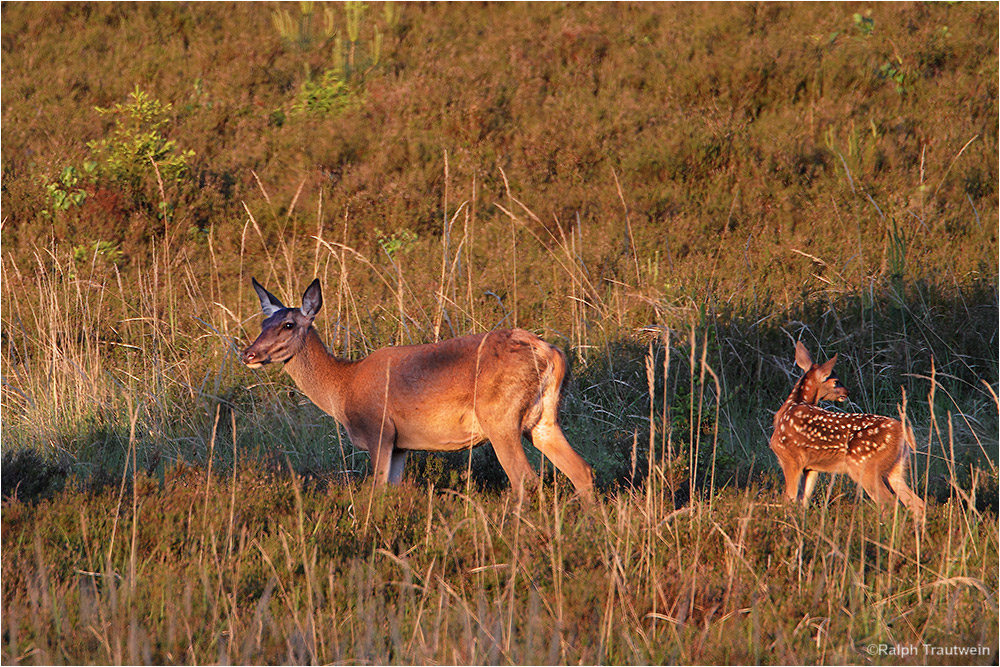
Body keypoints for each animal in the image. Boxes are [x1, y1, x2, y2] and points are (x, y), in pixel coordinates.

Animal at [241, 278, 592, 500]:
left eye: (288, 325)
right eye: (263, 324)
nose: (248, 354)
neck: (343, 386)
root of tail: (551, 353)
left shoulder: (379, 431)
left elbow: (376, 491)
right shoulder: (401, 445)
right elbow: (391, 489)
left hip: (500, 418)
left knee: (525, 480)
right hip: (542, 420)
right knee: (582, 471)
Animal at [768, 344, 924, 520]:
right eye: (835, 381)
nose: (847, 392)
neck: (792, 404)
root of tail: (904, 432)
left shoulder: (790, 459)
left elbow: (790, 500)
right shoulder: (811, 467)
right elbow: (803, 502)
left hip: (866, 467)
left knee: (889, 504)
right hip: (895, 468)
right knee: (917, 503)